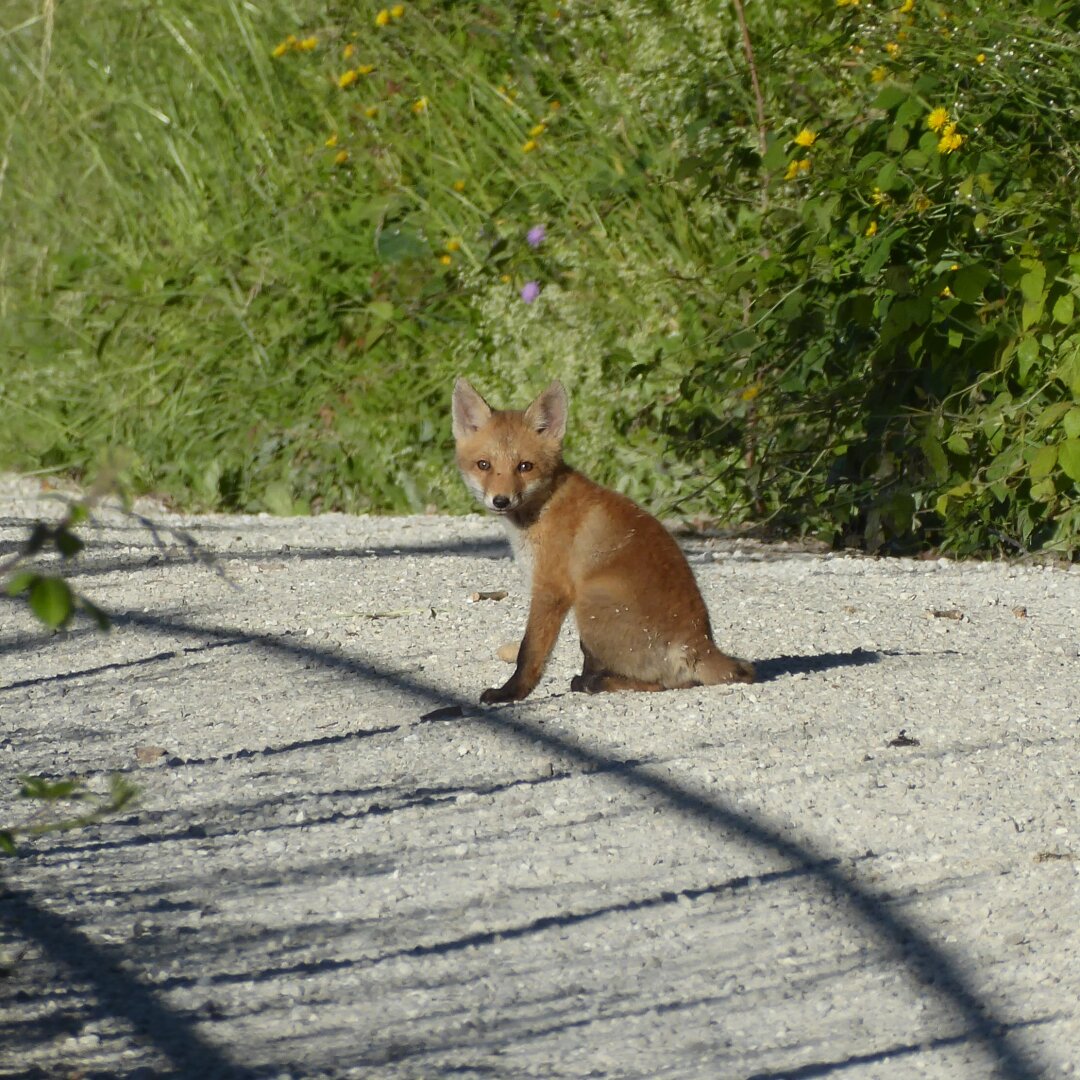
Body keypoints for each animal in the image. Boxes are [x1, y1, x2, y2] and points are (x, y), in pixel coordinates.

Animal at [452, 377, 755, 704]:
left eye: (525, 466)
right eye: (484, 465)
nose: (501, 500)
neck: (544, 506)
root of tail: (700, 642)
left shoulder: (552, 589)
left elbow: (529, 653)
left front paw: (511, 693)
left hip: (590, 601)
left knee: (663, 683)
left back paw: (599, 683)